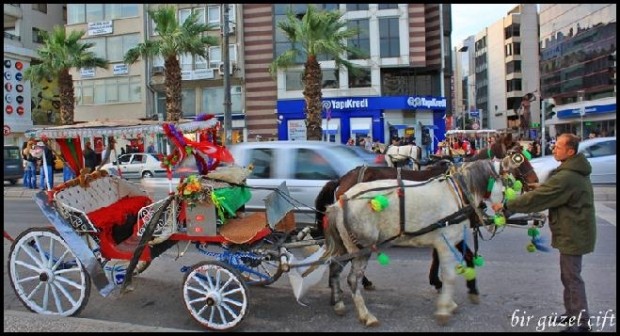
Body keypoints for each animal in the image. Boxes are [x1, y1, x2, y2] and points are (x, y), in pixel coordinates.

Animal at [322, 156, 520, 326]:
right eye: (506, 187)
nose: (505, 212)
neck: (457, 191)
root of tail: (341, 201)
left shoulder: (447, 241)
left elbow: (452, 266)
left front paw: (450, 300)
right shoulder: (446, 241)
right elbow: (449, 275)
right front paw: (444, 309)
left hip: (348, 246)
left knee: (335, 266)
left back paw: (338, 302)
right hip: (362, 247)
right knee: (352, 279)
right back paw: (366, 315)